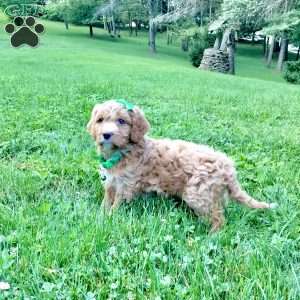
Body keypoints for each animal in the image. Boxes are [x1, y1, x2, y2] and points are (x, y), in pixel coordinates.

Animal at [86, 99, 276, 231]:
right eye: (100, 120)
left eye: (121, 121)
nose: (106, 134)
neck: (121, 153)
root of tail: (227, 165)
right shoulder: (111, 182)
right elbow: (106, 200)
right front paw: (100, 216)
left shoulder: (127, 184)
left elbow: (116, 204)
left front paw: (109, 219)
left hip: (198, 193)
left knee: (218, 218)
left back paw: (212, 236)